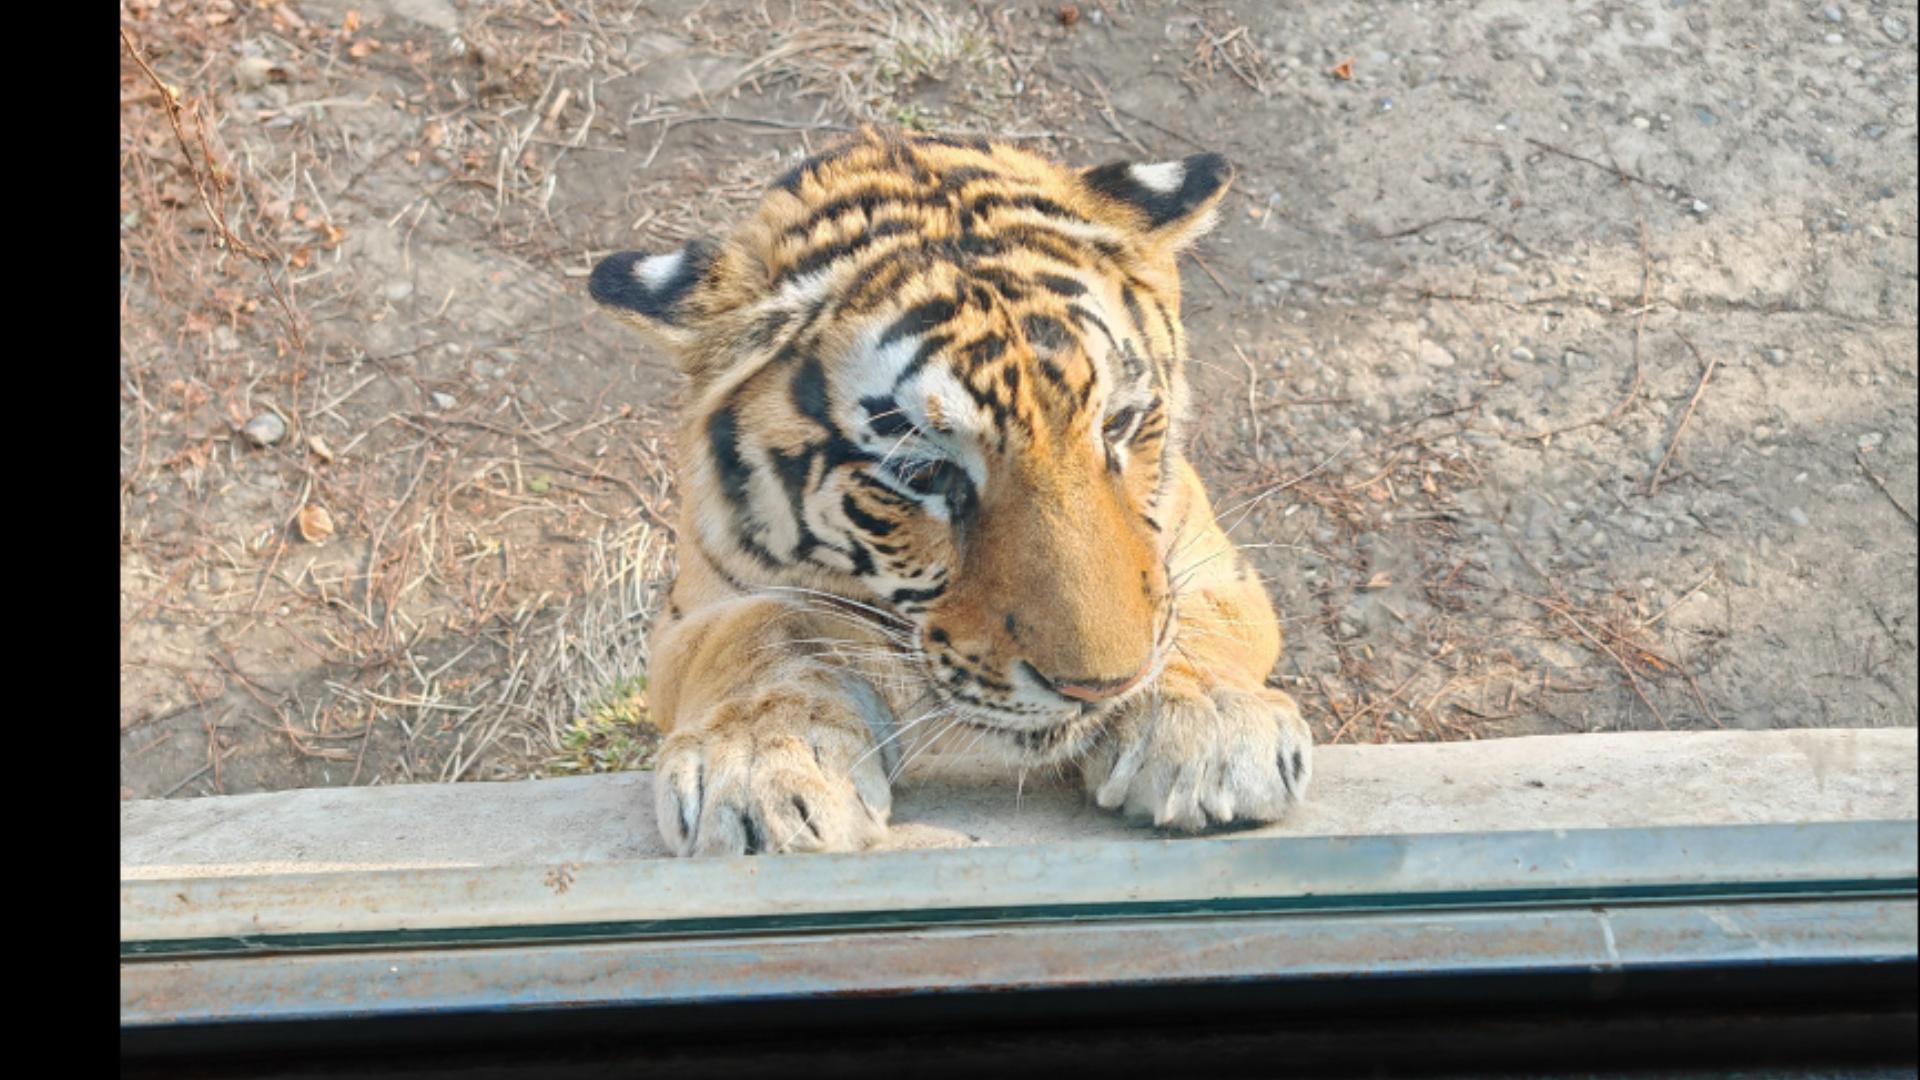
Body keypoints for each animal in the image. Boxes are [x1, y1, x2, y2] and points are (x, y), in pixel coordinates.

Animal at [587, 125, 1305, 853]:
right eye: (925, 474)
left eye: (1118, 425)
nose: (1103, 688)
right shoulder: (699, 607)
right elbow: (761, 633)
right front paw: (761, 764)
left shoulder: (1211, 556)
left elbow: (1190, 611)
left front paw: (1211, 730)